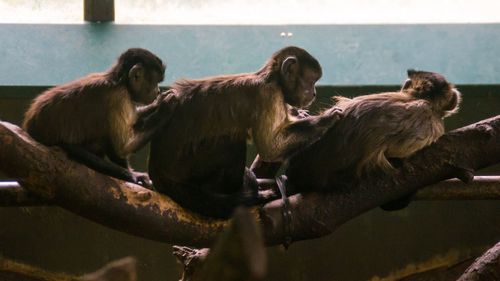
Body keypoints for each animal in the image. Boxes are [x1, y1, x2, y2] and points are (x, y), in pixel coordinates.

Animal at [23, 47, 178, 186]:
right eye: (156, 82)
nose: (157, 91)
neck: (119, 81)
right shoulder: (118, 96)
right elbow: (123, 147)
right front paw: (166, 107)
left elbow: (133, 118)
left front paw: (159, 102)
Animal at [148, 45, 342, 217]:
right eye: (311, 81)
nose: (314, 92)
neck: (272, 79)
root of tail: (157, 170)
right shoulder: (268, 94)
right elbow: (271, 148)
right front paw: (326, 118)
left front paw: (298, 113)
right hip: (189, 168)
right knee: (231, 141)